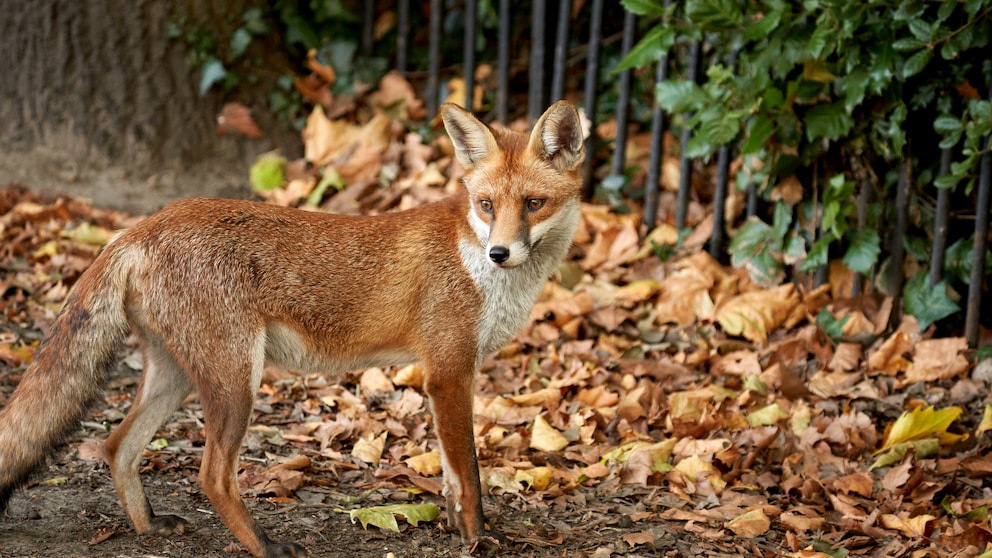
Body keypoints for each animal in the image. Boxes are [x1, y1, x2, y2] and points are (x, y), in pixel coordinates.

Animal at [0, 103, 580, 556]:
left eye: (534, 203)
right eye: (487, 205)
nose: (499, 252)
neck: (477, 262)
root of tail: (140, 226)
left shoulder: (448, 375)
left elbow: (452, 481)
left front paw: (459, 530)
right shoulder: (448, 373)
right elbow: (471, 479)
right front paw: (479, 540)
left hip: (178, 375)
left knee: (117, 445)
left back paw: (148, 527)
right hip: (236, 380)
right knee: (211, 476)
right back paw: (264, 545)